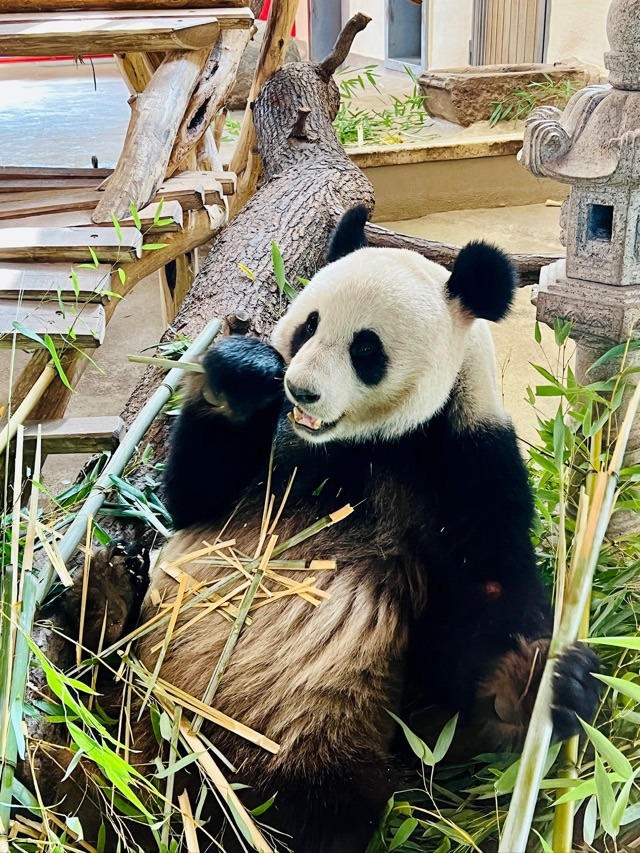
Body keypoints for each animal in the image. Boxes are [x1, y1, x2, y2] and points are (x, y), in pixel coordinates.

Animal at [78, 206, 599, 852]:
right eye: (308, 325)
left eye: (366, 349)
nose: (300, 388)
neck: (361, 444)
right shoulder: (277, 446)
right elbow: (192, 500)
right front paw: (242, 376)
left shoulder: (468, 459)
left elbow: (481, 599)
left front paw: (532, 687)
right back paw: (100, 595)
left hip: (318, 731)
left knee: (327, 806)